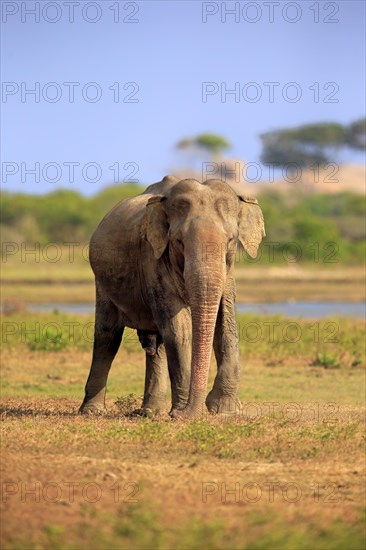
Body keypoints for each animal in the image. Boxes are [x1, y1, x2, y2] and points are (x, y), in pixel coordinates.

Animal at [78, 177, 264, 422]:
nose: (186, 414)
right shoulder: (152, 258)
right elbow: (179, 330)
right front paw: (183, 413)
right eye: (178, 242)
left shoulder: (228, 271)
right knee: (107, 337)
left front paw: (225, 411)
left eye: (231, 241)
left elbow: (225, 321)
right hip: (102, 282)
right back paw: (92, 411)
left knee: (156, 344)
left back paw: (149, 412)